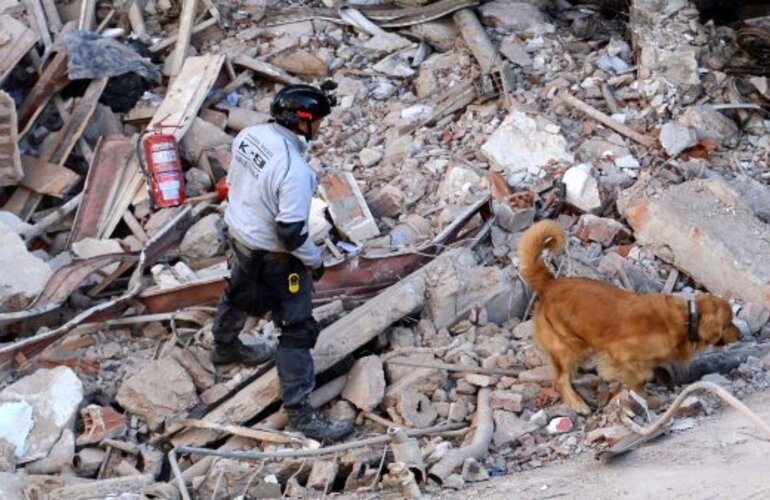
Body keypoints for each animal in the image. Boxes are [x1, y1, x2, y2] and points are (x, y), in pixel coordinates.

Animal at [516, 220, 736, 414]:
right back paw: (577, 402)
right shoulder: (620, 354)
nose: (740, 335)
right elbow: (637, 377)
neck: (686, 319)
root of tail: (550, 284)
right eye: (728, 323)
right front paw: (646, 396)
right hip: (568, 346)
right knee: (561, 379)